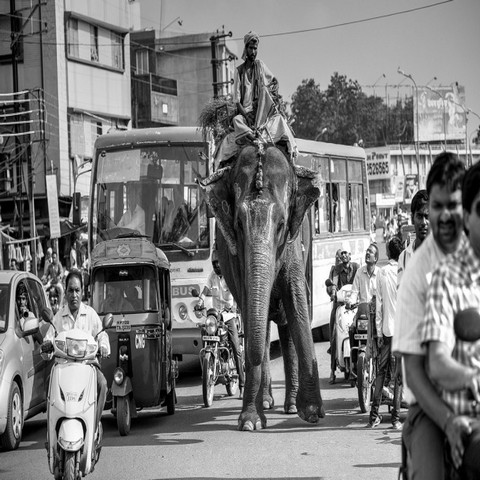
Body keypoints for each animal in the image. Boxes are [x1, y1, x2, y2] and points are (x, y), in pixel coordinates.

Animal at [199, 141, 326, 430]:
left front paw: (312, 412)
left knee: (284, 325)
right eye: (238, 223)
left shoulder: (293, 242)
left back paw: (290, 405)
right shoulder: (236, 255)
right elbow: (249, 306)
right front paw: (250, 422)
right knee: (263, 326)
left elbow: (297, 303)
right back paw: (267, 401)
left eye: (281, 224)